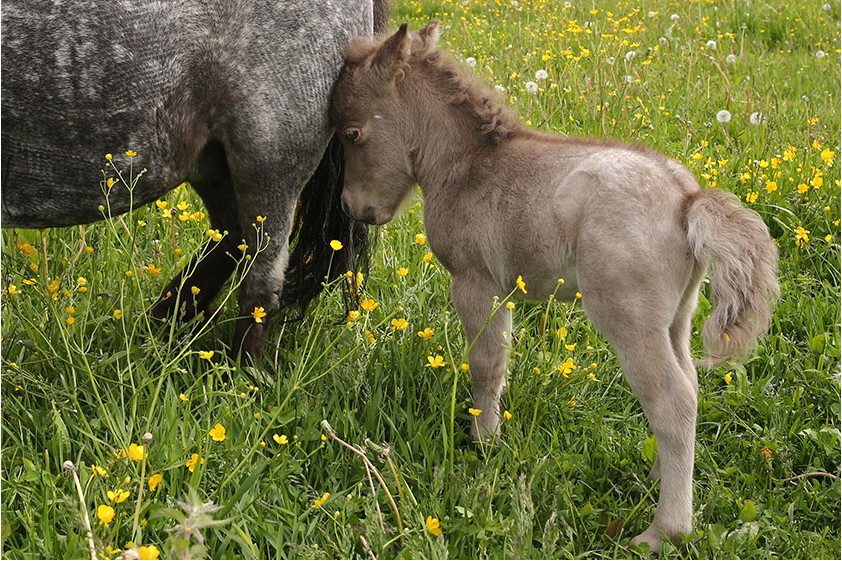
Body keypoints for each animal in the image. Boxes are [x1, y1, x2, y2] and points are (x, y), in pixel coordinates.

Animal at [0, 0, 388, 356]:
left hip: (270, 159)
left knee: (260, 278)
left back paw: (239, 377)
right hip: (215, 162)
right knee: (231, 241)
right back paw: (156, 335)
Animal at [332, 20, 776, 548]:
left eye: (352, 132)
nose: (351, 207)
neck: (466, 163)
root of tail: (686, 200)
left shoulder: (476, 282)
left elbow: (485, 364)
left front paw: (484, 445)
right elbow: (500, 360)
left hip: (628, 320)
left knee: (673, 400)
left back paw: (663, 532)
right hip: (676, 318)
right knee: (688, 385)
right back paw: (658, 477)